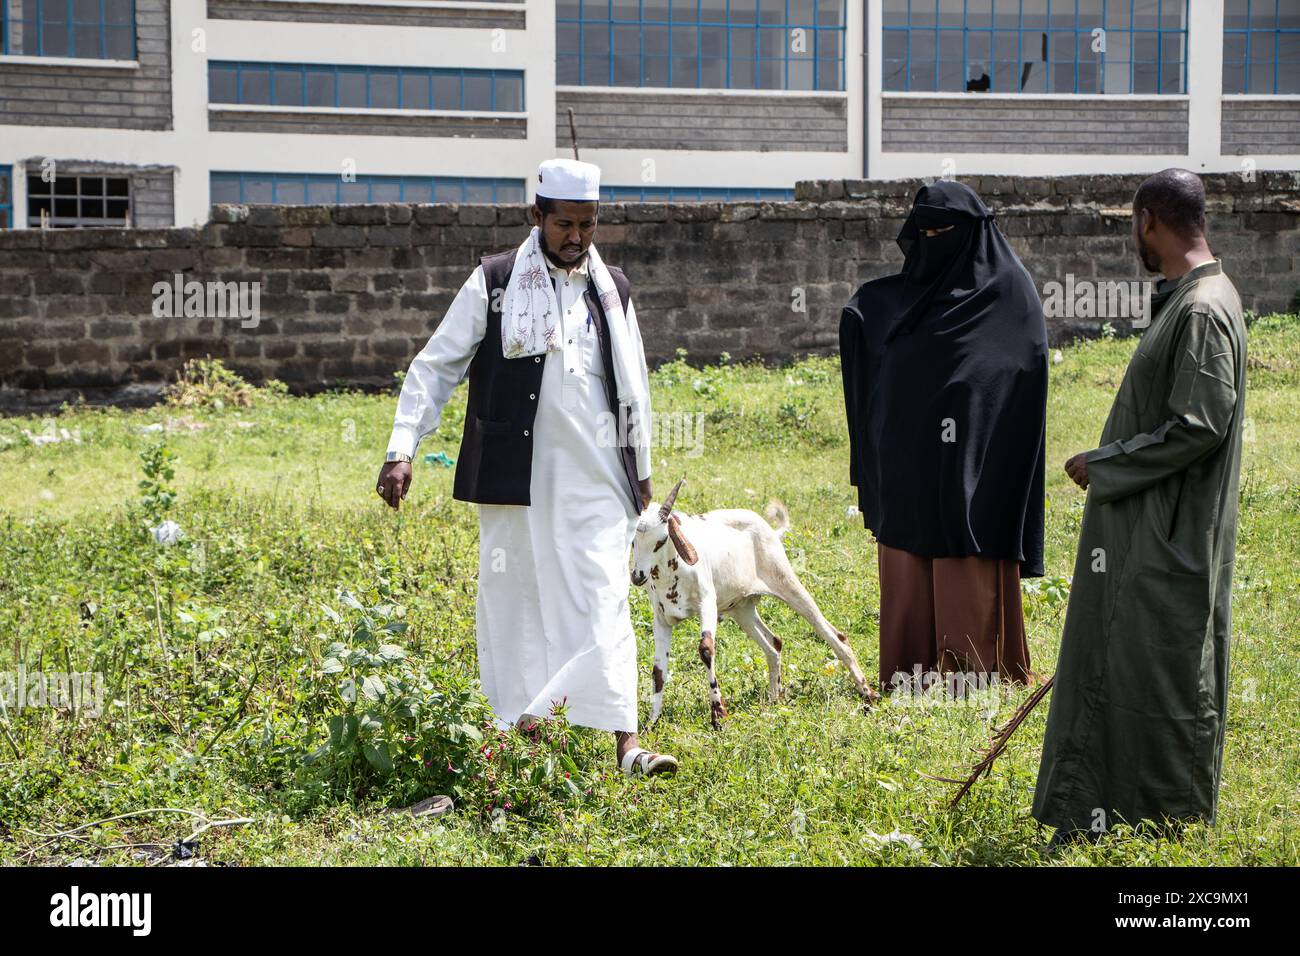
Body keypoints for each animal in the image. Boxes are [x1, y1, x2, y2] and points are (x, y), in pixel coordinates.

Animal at [626, 481, 878, 728]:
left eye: (661, 541)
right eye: (633, 541)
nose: (638, 576)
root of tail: (769, 529)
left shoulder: (707, 604)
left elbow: (706, 650)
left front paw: (719, 715)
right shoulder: (662, 618)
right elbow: (658, 670)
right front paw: (652, 722)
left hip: (789, 585)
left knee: (835, 637)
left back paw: (867, 692)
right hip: (742, 609)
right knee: (774, 644)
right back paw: (775, 698)